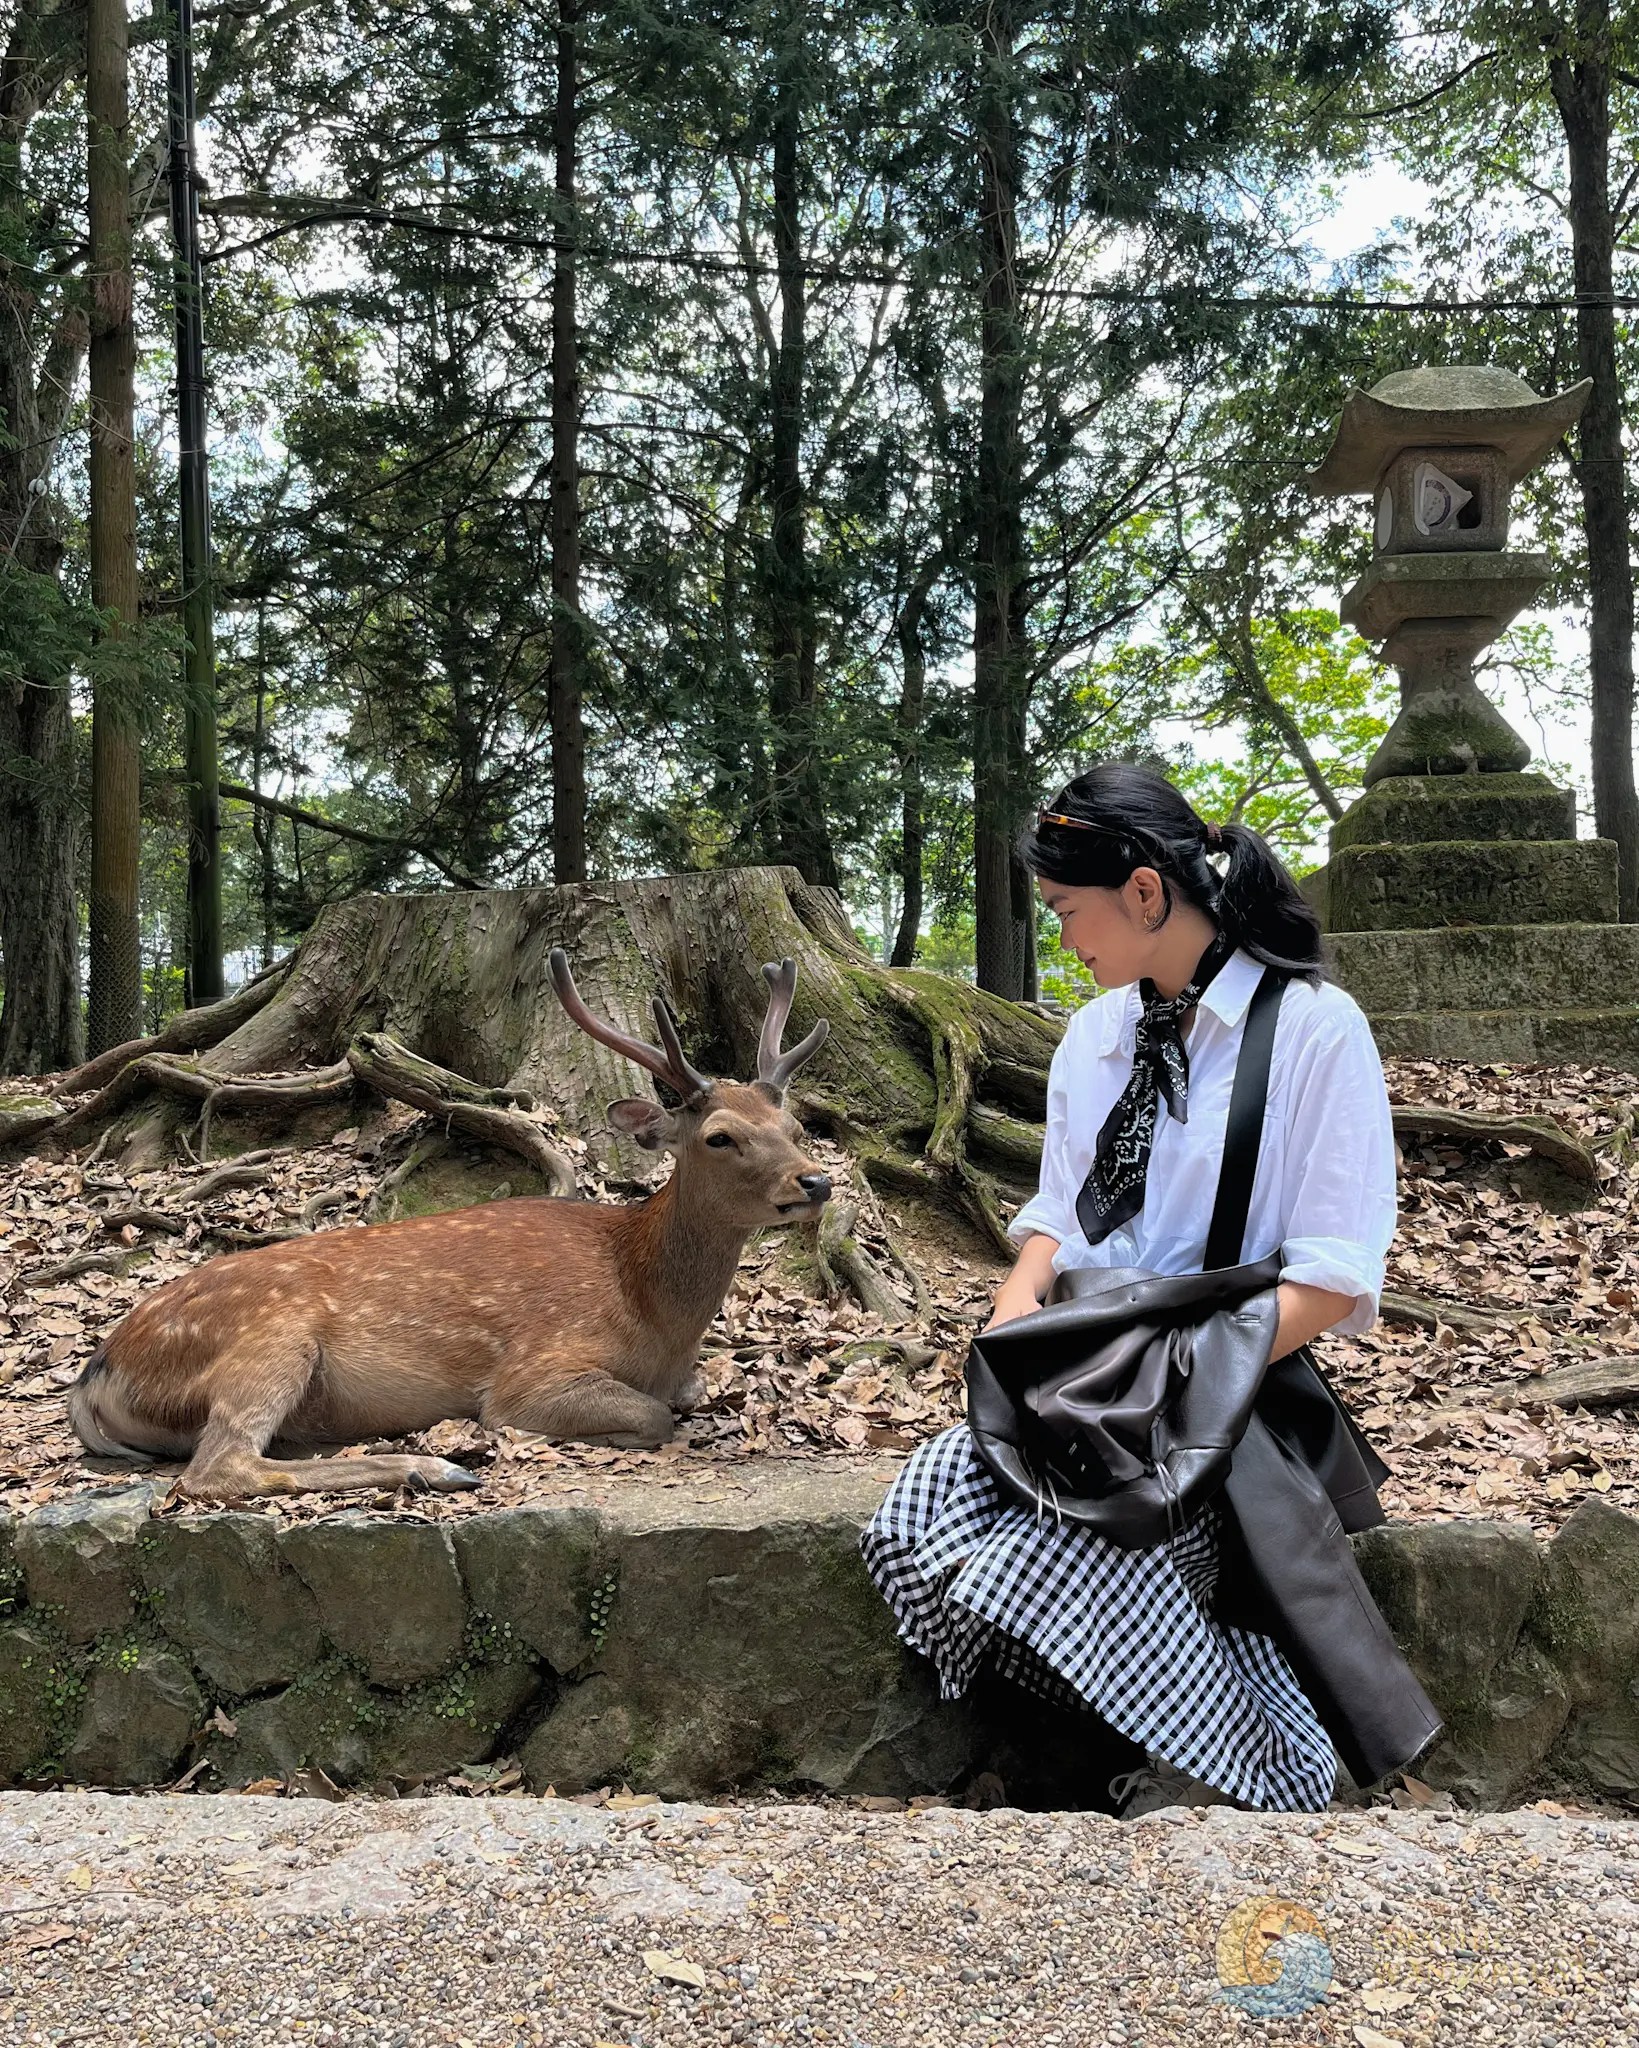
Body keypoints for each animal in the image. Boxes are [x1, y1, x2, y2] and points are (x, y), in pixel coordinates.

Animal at [67, 950, 832, 1501]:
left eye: (794, 1127)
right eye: (720, 1137)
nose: (816, 1181)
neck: (648, 1310)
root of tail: (94, 1375)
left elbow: (688, 1393)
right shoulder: (532, 1372)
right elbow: (654, 1415)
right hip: (269, 1337)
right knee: (217, 1469)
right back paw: (433, 1468)